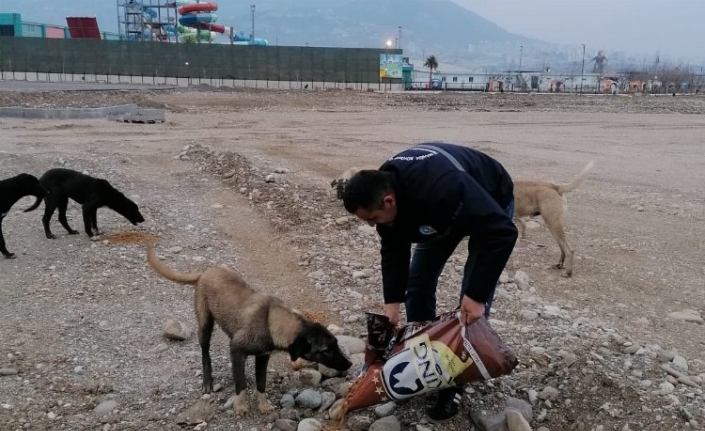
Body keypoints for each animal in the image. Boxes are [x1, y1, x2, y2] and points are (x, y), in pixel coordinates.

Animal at [146, 248, 352, 416]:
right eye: (325, 350)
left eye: (336, 344)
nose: (349, 364)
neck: (270, 320)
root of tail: (207, 271)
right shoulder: (237, 350)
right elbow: (240, 382)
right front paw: (240, 406)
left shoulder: (262, 357)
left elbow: (261, 383)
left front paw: (263, 405)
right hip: (205, 324)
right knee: (205, 353)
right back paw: (207, 381)